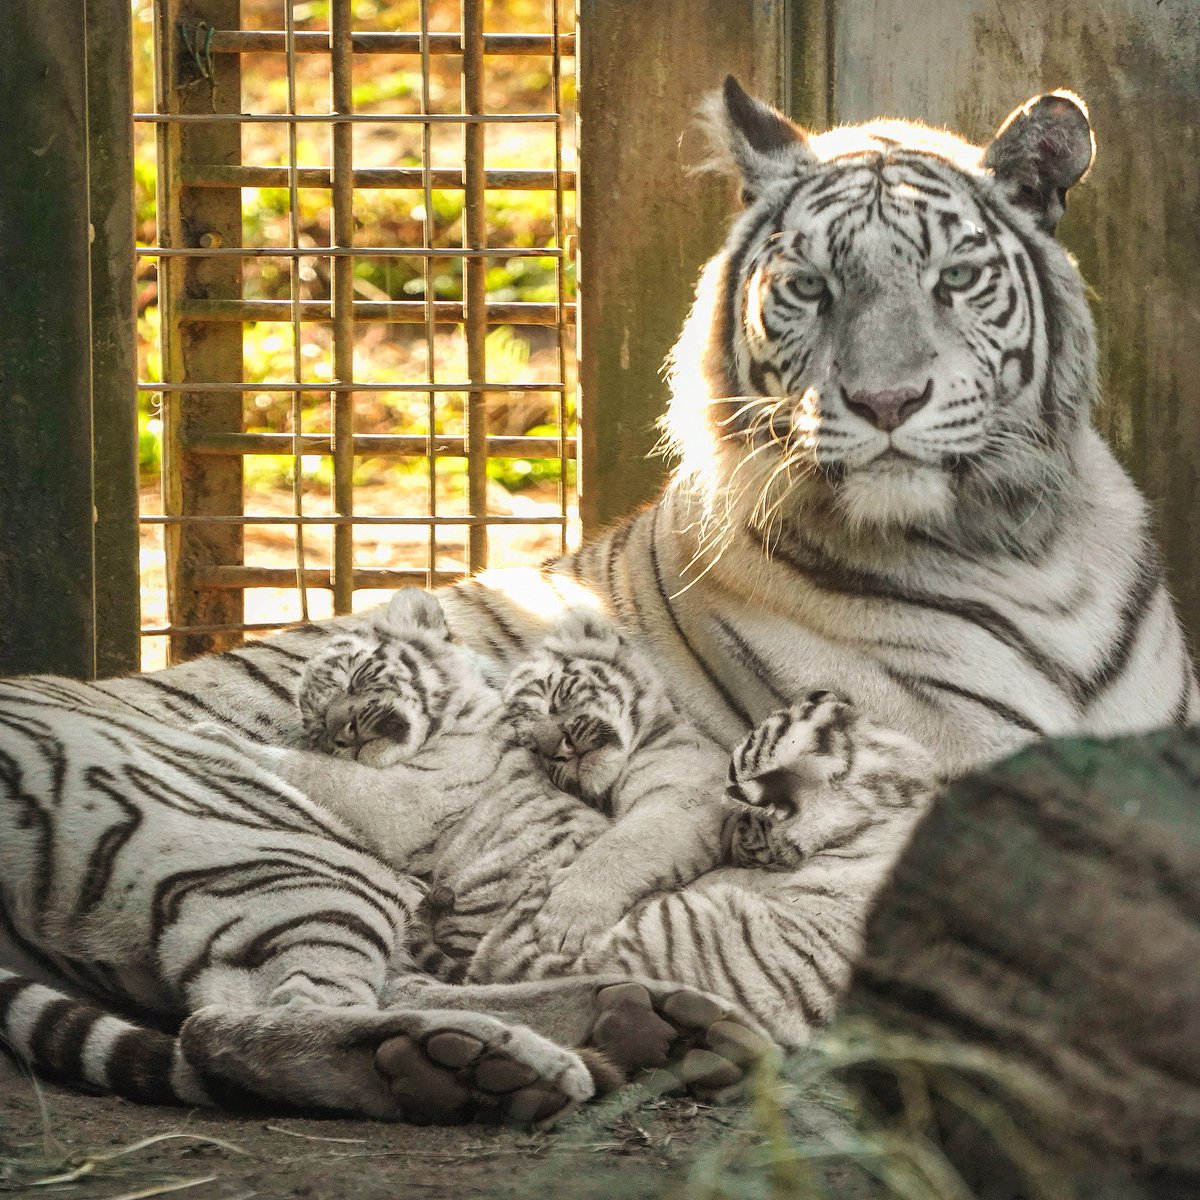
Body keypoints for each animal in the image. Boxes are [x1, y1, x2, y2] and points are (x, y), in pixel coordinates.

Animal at [0, 79, 1195, 1118]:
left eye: (955, 279)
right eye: (811, 286)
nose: (886, 401)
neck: (1023, 546)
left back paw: (632, 1028)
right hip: (271, 847)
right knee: (241, 1021)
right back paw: (478, 1061)